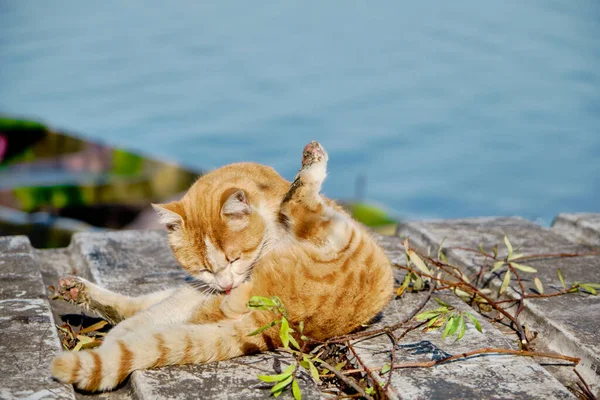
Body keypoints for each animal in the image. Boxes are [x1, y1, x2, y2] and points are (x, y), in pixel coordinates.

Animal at [51, 141, 394, 390]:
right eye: (204, 267)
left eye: (234, 258)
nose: (226, 284)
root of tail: (288, 321)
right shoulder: (201, 284)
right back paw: (79, 291)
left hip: (337, 234)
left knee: (300, 200)